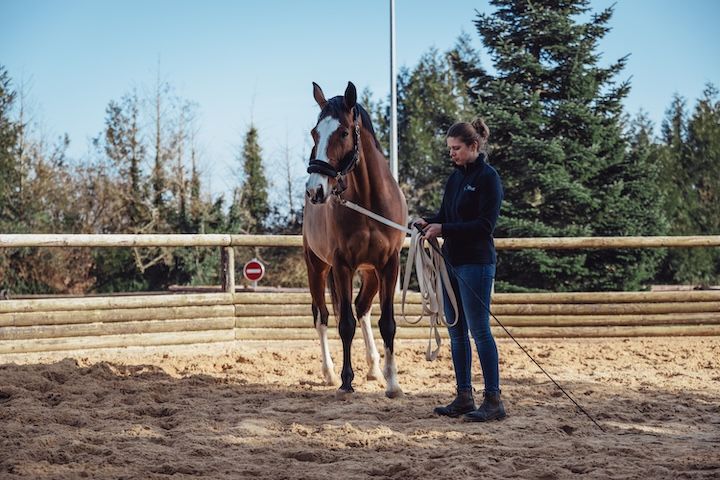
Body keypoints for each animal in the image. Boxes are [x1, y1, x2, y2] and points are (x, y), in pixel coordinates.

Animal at [303, 81, 408, 399]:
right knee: (323, 316)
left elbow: (387, 324)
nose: (315, 190)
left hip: (371, 273)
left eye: (344, 133)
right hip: (316, 267)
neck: (369, 201)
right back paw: (328, 372)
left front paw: (393, 382)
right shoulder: (341, 266)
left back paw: (375, 368)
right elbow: (345, 324)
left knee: (362, 308)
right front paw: (346, 381)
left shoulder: (389, 265)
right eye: (314, 132)